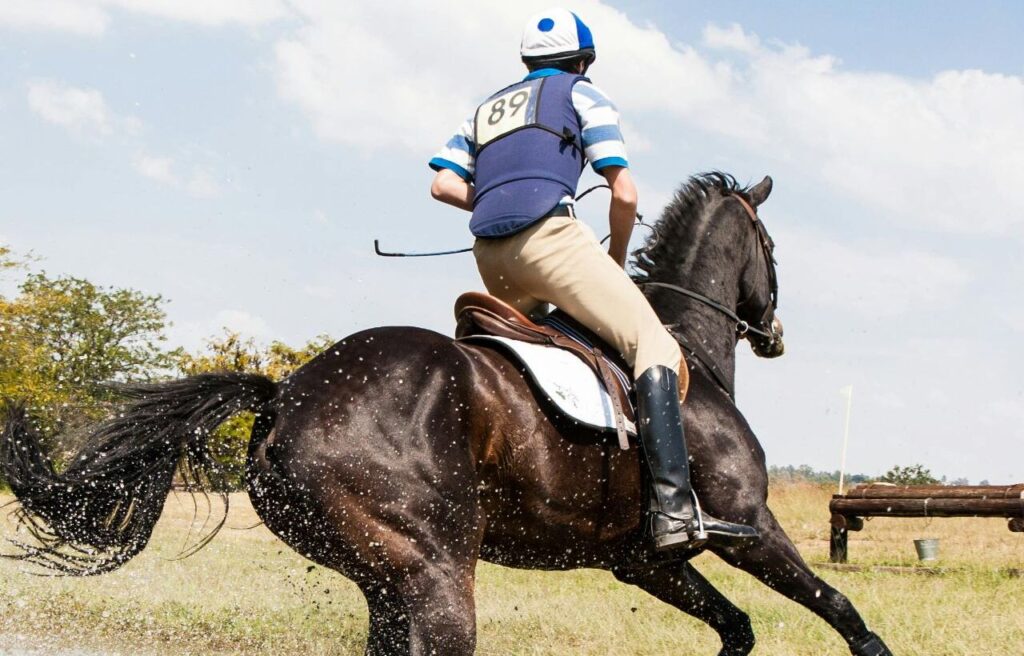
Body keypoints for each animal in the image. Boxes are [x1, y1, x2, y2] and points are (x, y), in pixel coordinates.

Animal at [0, 173, 893, 656]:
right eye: (772, 250)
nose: (775, 334)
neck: (683, 351)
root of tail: (286, 393)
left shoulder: (644, 561)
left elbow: (737, 628)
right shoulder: (749, 529)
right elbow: (841, 609)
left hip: (387, 577)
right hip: (435, 570)